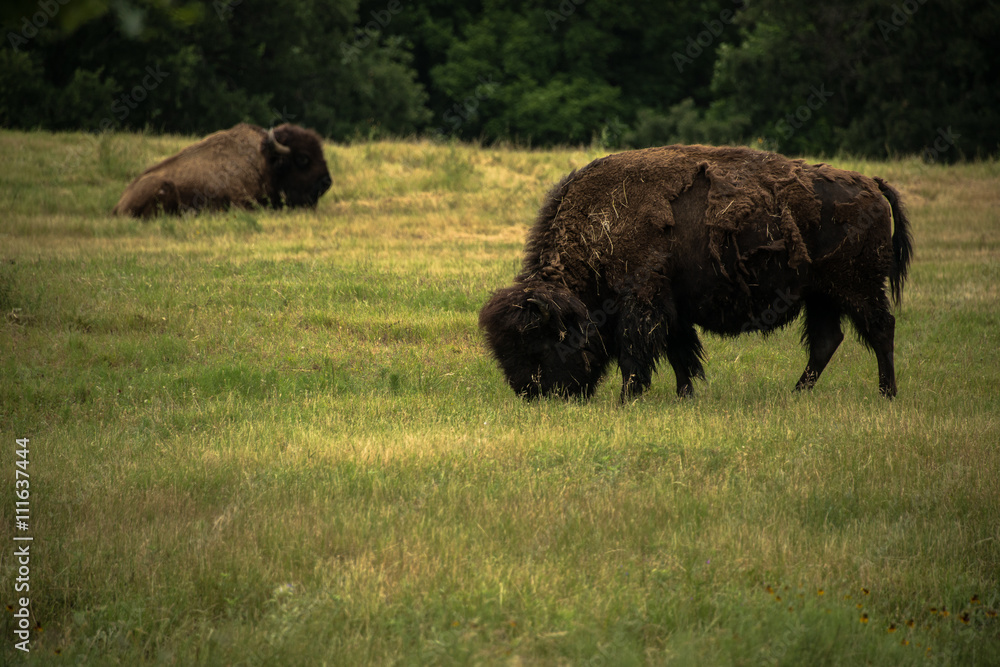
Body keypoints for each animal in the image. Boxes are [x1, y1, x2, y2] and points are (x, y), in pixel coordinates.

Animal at [478, 145, 916, 402]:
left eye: (540, 343)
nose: (533, 395)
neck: (600, 227)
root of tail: (872, 184)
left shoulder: (642, 302)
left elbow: (637, 351)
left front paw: (628, 398)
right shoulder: (672, 308)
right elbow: (680, 352)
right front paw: (685, 394)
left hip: (857, 286)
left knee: (880, 328)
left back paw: (886, 394)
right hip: (821, 294)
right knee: (827, 340)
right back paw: (797, 393)